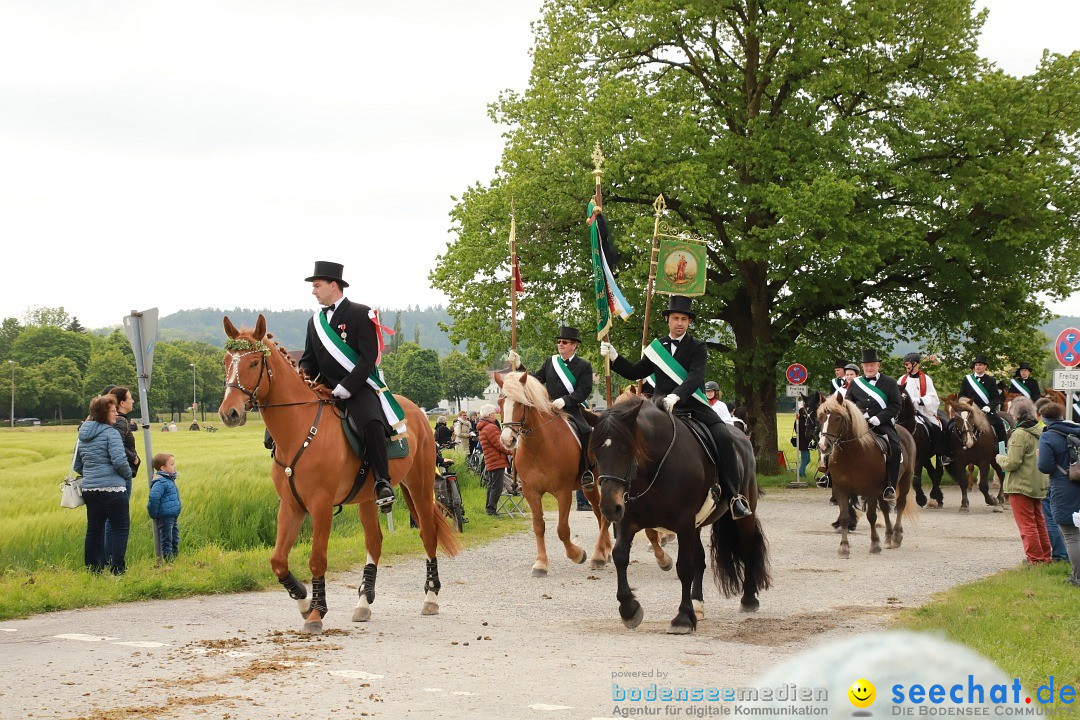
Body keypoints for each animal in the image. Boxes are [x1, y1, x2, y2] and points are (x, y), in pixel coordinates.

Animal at [217, 317, 457, 634]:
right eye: (225, 361)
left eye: (254, 362)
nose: (229, 413)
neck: (300, 430)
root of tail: (415, 410)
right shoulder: (291, 506)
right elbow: (278, 560)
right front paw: (304, 601)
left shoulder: (320, 507)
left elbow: (317, 559)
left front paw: (317, 612)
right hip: (368, 498)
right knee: (375, 541)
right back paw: (363, 603)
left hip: (418, 484)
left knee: (428, 534)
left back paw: (430, 597)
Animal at [587, 395, 773, 634]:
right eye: (596, 453)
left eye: (627, 450)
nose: (610, 507)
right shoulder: (627, 522)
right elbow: (620, 557)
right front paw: (629, 609)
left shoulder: (683, 523)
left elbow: (684, 567)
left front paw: (683, 618)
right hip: (696, 525)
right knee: (700, 559)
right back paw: (697, 604)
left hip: (742, 515)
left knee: (747, 549)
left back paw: (748, 599)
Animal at [812, 395, 915, 557]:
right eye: (820, 417)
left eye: (838, 418)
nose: (823, 446)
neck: (852, 454)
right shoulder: (840, 490)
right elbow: (844, 517)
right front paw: (844, 546)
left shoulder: (870, 490)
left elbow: (871, 516)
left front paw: (874, 544)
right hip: (883, 489)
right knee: (885, 507)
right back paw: (888, 536)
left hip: (905, 479)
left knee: (900, 504)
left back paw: (896, 537)